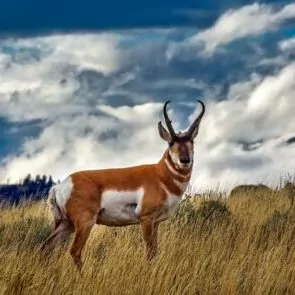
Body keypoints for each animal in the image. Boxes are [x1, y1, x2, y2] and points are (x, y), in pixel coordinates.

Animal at [41, 100, 206, 272]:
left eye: (192, 141)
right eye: (171, 142)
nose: (185, 160)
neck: (160, 175)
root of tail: (60, 186)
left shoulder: (156, 222)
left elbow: (155, 251)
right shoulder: (146, 219)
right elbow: (150, 252)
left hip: (66, 224)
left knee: (46, 247)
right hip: (84, 222)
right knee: (74, 251)